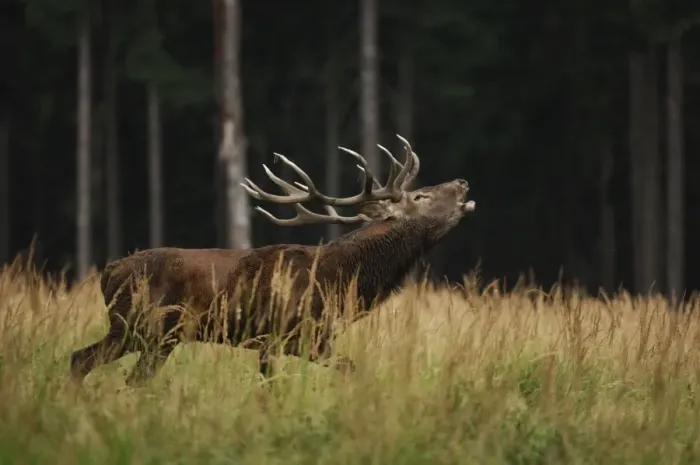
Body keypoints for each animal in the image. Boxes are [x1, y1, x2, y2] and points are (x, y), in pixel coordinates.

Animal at [69, 135, 476, 387]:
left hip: (158, 336)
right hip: (138, 326)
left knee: (114, 372)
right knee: (82, 360)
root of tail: (107, 273)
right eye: (421, 196)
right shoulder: (283, 335)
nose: (462, 182)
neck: (339, 280)